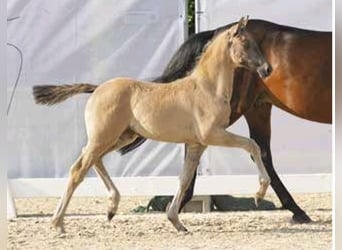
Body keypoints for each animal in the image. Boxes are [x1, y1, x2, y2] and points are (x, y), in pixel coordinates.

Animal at [32, 17, 272, 232]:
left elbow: (184, 179)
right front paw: (259, 193)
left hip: (120, 137)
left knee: (94, 161)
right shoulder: (212, 134)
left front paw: (176, 221)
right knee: (78, 169)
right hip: (104, 137)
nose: (267, 69)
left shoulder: (197, 144)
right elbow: (252, 146)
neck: (208, 88)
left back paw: (111, 208)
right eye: (246, 42)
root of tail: (97, 88)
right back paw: (58, 223)